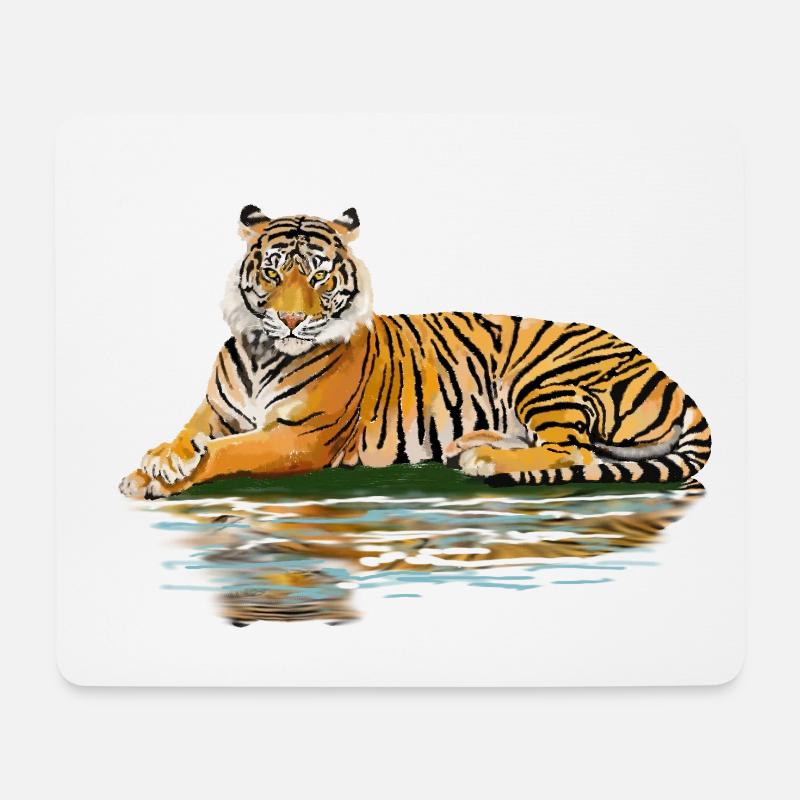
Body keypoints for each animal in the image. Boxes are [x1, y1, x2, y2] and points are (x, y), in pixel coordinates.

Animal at [119, 205, 712, 500]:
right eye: (272, 271)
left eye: (318, 275)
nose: (290, 319)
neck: (264, 350)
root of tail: (669, 376)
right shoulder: (215, 411)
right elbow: (189, 435)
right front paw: (155, 462)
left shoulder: (299, 439)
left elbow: (227, 452)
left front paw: (163, 478)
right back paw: (474, 444)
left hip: (546, 378)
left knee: (575, 454)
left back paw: (484, 459)